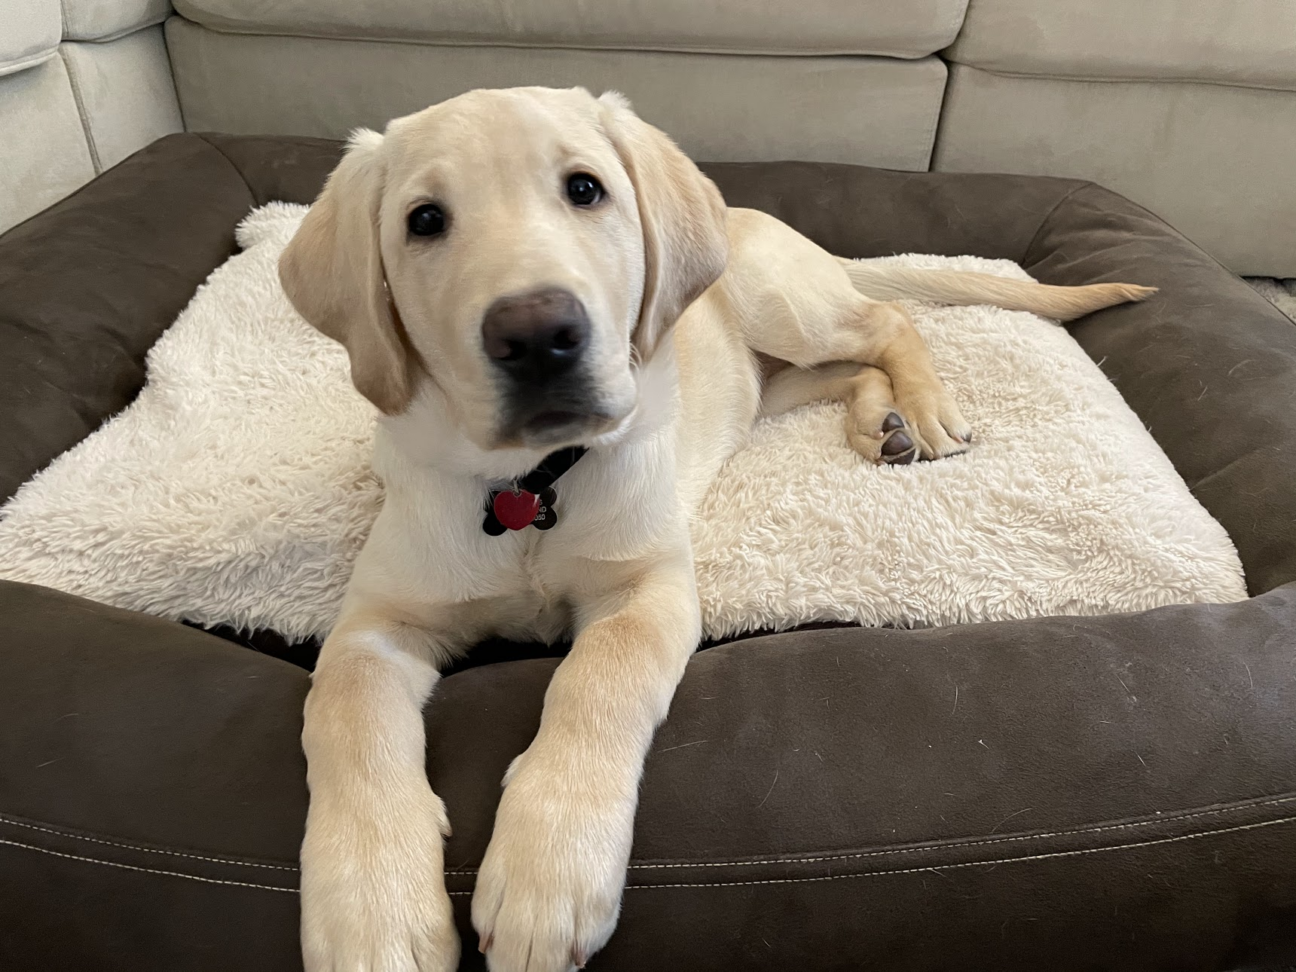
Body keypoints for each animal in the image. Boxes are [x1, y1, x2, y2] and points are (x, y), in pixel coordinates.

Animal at [278, 85, 1150, 972]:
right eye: (423, 220)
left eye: (585, 189)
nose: (538, 334)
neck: (531, 485)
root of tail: (751, 215)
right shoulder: (377, 624)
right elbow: (345, 714)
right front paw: (373, 914)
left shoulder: (648, 587)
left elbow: (600, 679)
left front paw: (547, 875)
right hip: (769, 382)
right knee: (849, 368)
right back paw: (882, 424)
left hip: (783, 306)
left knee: (890, 318)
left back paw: (925, 406)